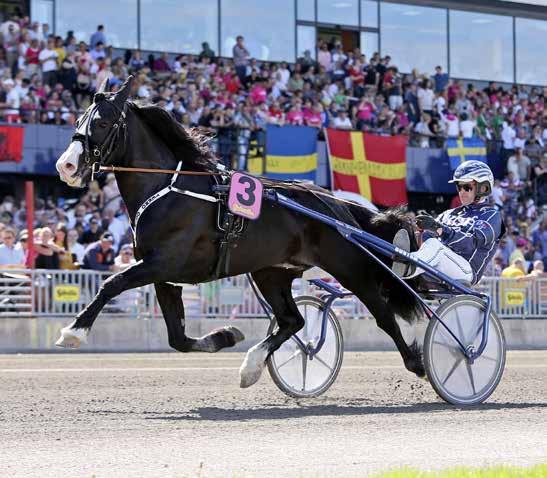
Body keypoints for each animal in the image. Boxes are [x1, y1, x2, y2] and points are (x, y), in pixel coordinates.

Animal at [55, 75, 424, 388]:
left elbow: (111, 283)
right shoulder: (164, 275)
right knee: (293, 320)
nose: (66, 166)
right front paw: (226, 336)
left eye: (102, 122)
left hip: (349, 268)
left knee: (383, 314)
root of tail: (336, 205)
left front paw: (74, 331)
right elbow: (178, 338)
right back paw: (252, 366)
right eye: (77, 121)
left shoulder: (162, 264)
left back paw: (417, 362)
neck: (169, 189)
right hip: (271, 272)